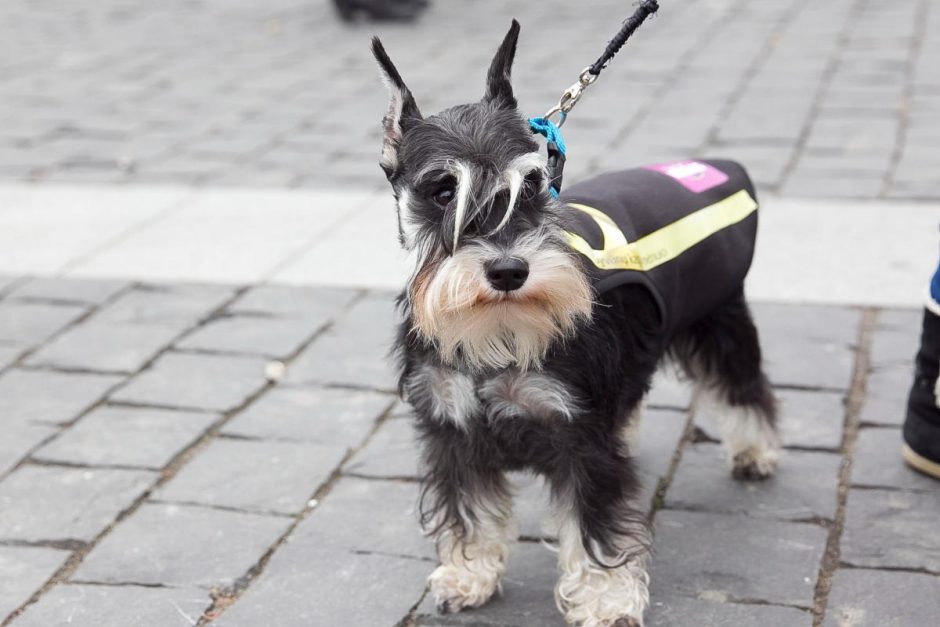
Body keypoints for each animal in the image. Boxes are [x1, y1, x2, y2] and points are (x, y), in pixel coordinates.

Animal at [372, 19, 780, 627]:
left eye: (534, 185)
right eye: (442, 191)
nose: (509, 270)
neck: (497, 336)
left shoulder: (584, 440)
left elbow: (596, 527)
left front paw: (607, 602)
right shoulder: (453, 431)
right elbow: (469, 513)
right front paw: (467, 576)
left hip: (721, 319)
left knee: (742, 384)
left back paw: (755, 451)